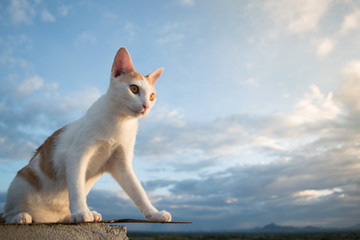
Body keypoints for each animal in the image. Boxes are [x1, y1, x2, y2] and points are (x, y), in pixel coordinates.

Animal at [2, 47, 172, 224]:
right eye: (134, 89)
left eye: (152, 96)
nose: (146, 106)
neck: (120, 122)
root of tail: (46, 219)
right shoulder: (77, 154)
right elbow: (77, 189)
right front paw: (81, 212)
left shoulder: (122, 165)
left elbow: (139, 192)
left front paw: (155, 213)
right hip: (20, 180)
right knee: (7, 213)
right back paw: (19, 216)